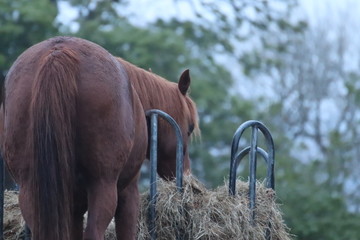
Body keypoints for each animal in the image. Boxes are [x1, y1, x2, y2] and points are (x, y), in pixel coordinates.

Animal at [0, 36, 198, 240]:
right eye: (190, 128)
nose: (186, 176)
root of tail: (58, 53)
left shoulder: (74, 207)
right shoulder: (128, 193)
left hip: (30, 189)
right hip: (103, 185)